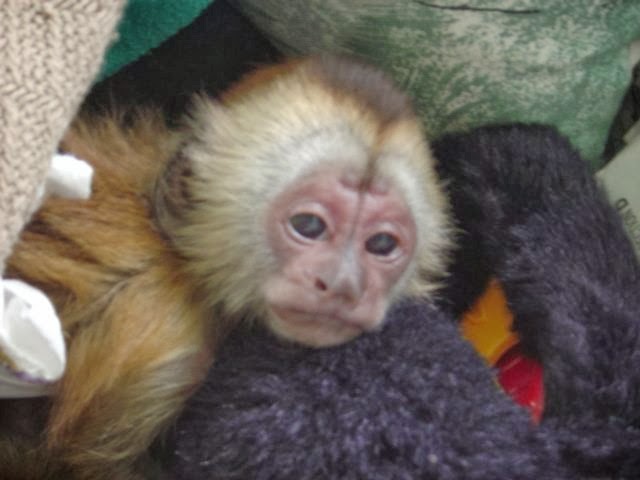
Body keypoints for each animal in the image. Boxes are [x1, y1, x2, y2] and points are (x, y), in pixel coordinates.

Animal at [3, 55, 451, 477]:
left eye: (381, 244)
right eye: (308, 225)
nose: (341, 284)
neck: (182, 262)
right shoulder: (166, 334)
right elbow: (90, 464)